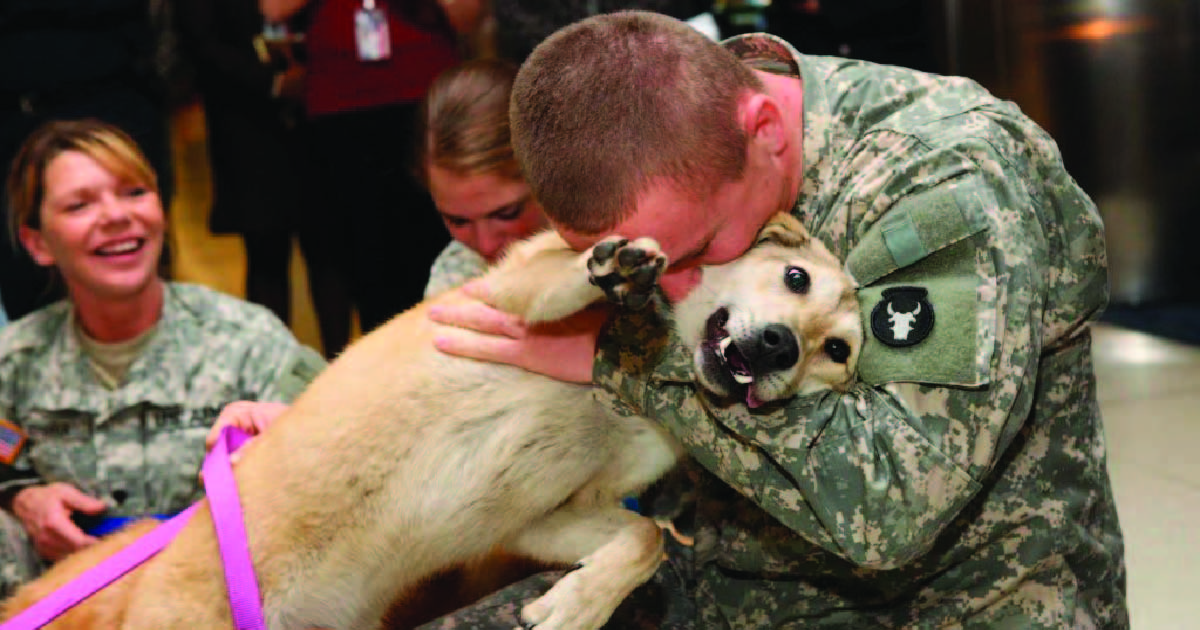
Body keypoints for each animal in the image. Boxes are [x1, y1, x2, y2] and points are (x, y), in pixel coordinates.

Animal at [4, 212, 859, 628]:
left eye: (840, 350)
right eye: (794, 277)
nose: (781, 346)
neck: (626, 393)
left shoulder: (544, 518)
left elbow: (644, 539)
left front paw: (574, 606)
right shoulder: (505, 295)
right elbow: (562, 278)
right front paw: (615, 272)